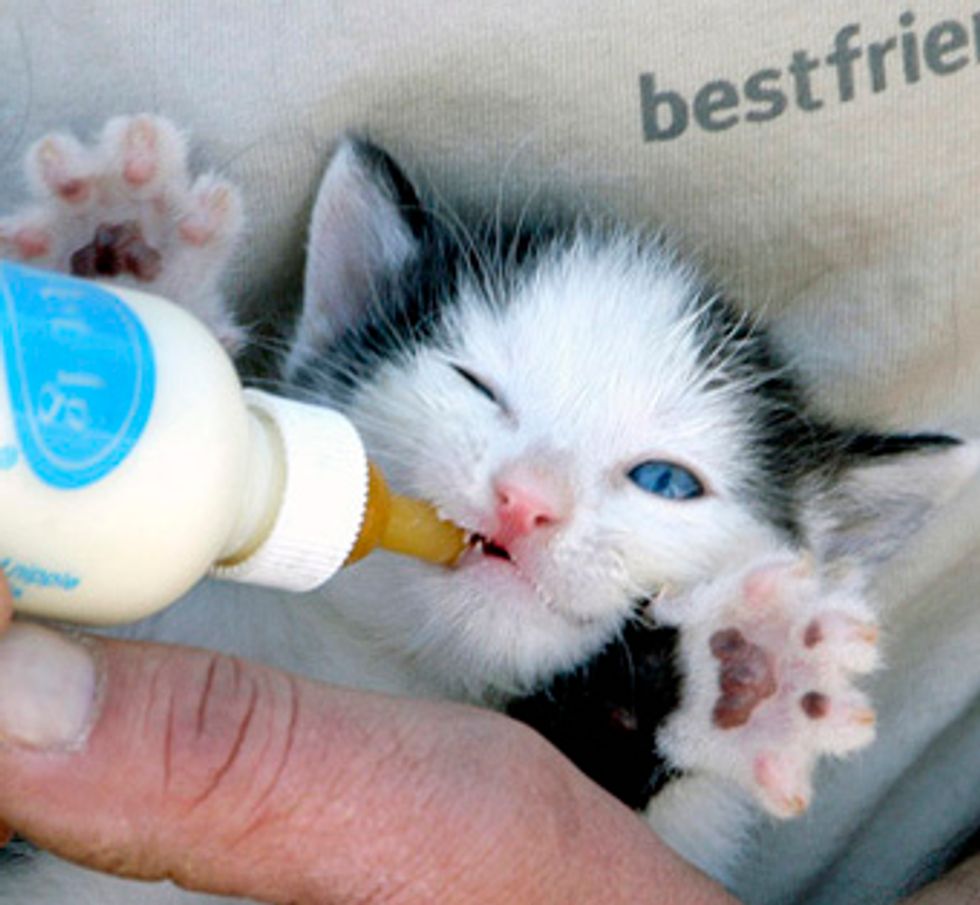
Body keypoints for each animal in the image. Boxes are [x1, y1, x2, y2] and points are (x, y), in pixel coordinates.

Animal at [0, 116, 972, 900]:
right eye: (473, 384)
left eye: (666, 481)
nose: (524, 500)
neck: (399, 677)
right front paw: (121, 268)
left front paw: (738, 667)